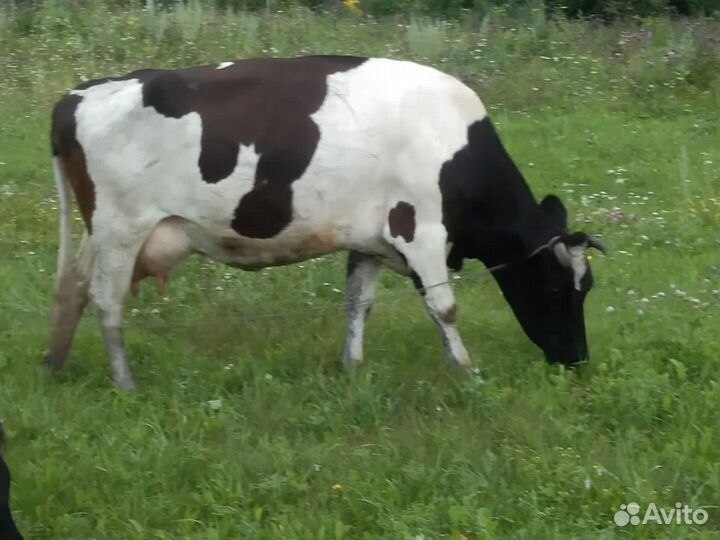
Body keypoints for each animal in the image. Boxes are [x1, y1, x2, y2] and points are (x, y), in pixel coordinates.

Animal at [45, 56, 606, 390]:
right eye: (559, 288)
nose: (578, 360)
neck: (452, 143)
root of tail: (78, 94)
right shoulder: (419, 231)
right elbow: (444, 307)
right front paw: (467, 372)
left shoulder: (371, 240)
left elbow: (359, 303)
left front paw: (352, 367)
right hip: (123, 227)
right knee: (107, 301)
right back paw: (125, 383)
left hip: (101, 232)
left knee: (72, 286)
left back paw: (55, 364)